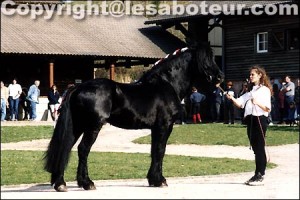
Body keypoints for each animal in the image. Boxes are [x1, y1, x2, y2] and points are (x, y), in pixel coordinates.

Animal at [43, 41, 224, 191]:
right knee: (83, 149)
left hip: (78, 126)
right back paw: (87, 183)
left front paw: (153, 179)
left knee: (66, 147)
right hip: (93, 126)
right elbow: (160, 150)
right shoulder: (165, 125)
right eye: (207, 59)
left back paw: (60, 183)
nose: (220, 76)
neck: (167, 84)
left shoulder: (155, 128)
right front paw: (160, 180)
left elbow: (154, 150)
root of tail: (78, 88)